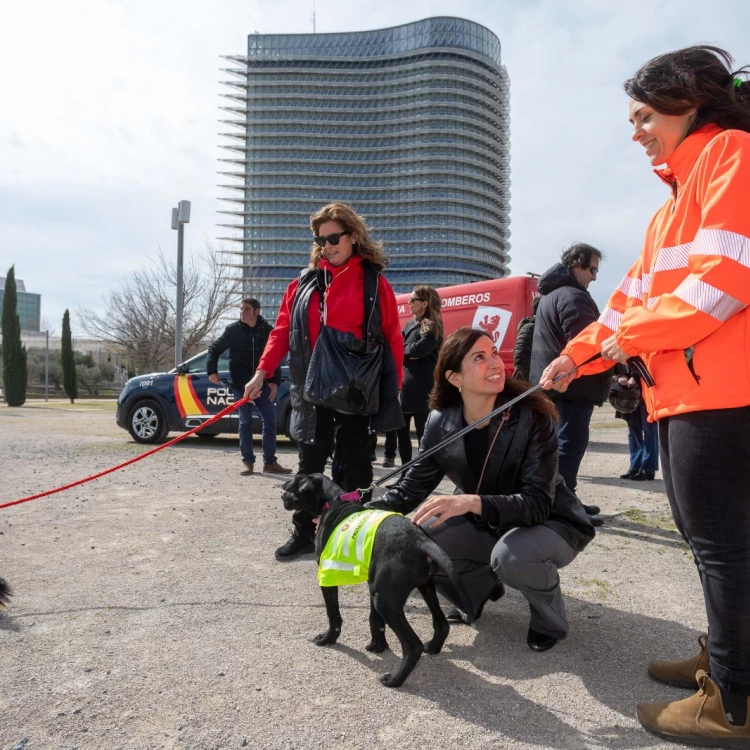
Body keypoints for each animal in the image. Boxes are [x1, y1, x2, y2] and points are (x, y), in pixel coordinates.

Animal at [282, 476, 476, 688]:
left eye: (292, 485)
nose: (282, 494)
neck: (332, 501)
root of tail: (420, 541)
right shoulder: (372, 582)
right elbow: (374, 619)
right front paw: (378, 646)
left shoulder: (327, 575)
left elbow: (333, 616)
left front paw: (327, 639)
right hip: (421, 586)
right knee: (441, 624)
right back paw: (433, 646)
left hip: (386, 602)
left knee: (413, 646)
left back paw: (395, 680)